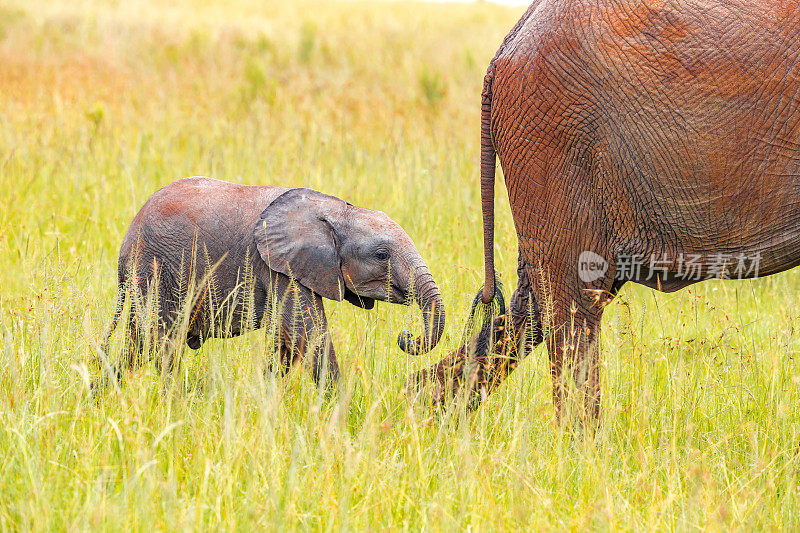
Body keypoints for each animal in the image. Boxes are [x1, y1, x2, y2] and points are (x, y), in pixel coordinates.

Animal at [95, 177, 444, 388]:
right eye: (382, 255)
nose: (406, 337)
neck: (338, 210)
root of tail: (127, 240)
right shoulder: (279, 268)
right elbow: (309, 334)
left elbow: (285, 342)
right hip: (156, 270)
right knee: (160, 342)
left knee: (138, 344)